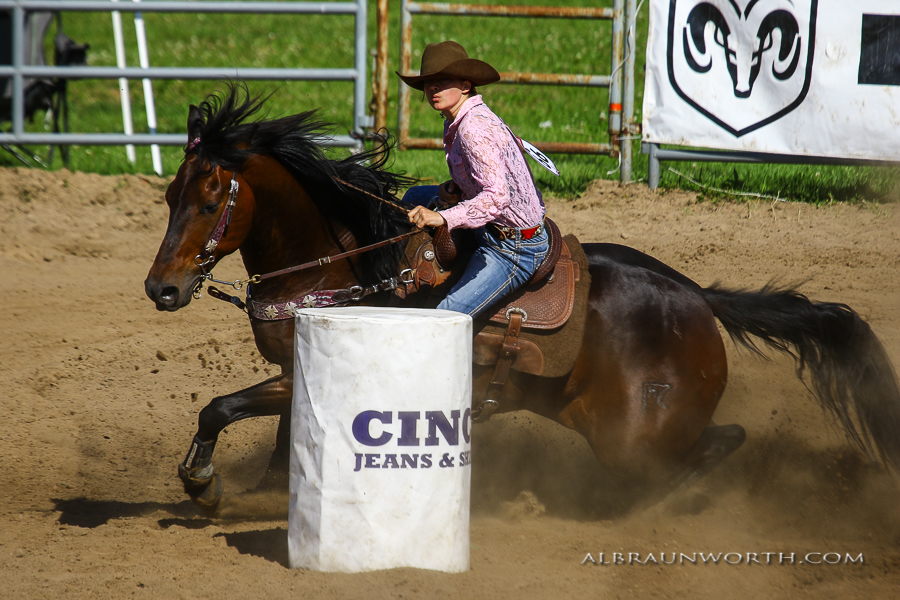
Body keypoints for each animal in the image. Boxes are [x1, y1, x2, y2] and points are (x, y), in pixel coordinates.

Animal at [144, 85, 900, 516]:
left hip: (636, 437)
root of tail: (696, 298)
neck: (350, 265)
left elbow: (222, 406)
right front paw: (266, 493)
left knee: (712, 446)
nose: (161, 288)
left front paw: (201, 480)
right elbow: (277, 435)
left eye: (209, 200)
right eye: (168, 194)